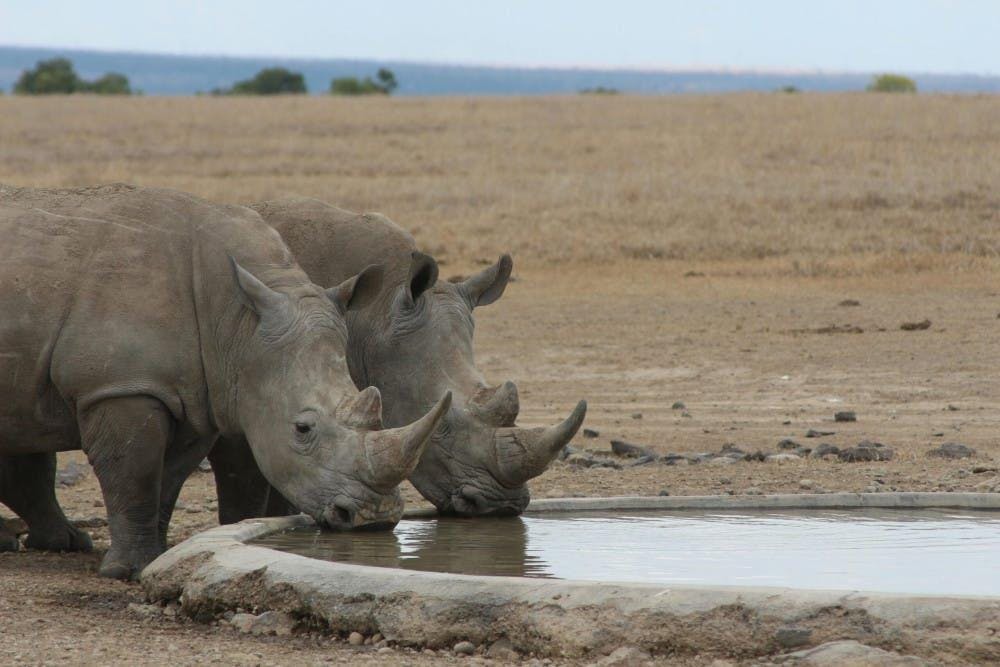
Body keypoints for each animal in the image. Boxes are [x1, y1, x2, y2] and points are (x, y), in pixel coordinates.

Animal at [0, 184, 450, 579]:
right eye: (302, 429)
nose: (374, 519)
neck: (238, 325)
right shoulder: (120, 386)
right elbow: (134, 475)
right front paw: (126, 572)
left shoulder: (196, 394)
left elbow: (168, 479)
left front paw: (157, 558)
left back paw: (59, 543)